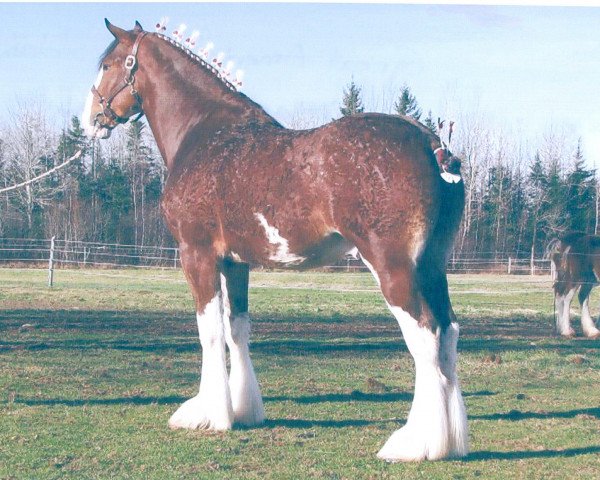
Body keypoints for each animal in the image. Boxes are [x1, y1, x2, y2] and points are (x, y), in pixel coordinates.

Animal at [83, 20, 468, 464]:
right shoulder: (234, 262)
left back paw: (416, 443)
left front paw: (207, 415)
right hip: (432, 266)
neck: (205, 132)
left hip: (393, 268)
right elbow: (237, 330)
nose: (91, 119)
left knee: (425, 336)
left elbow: (209, 331)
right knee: (448, 334)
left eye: (108, 64)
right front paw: (242, 410)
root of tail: (431, 144)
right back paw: (451, 441)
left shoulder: (197, 255)